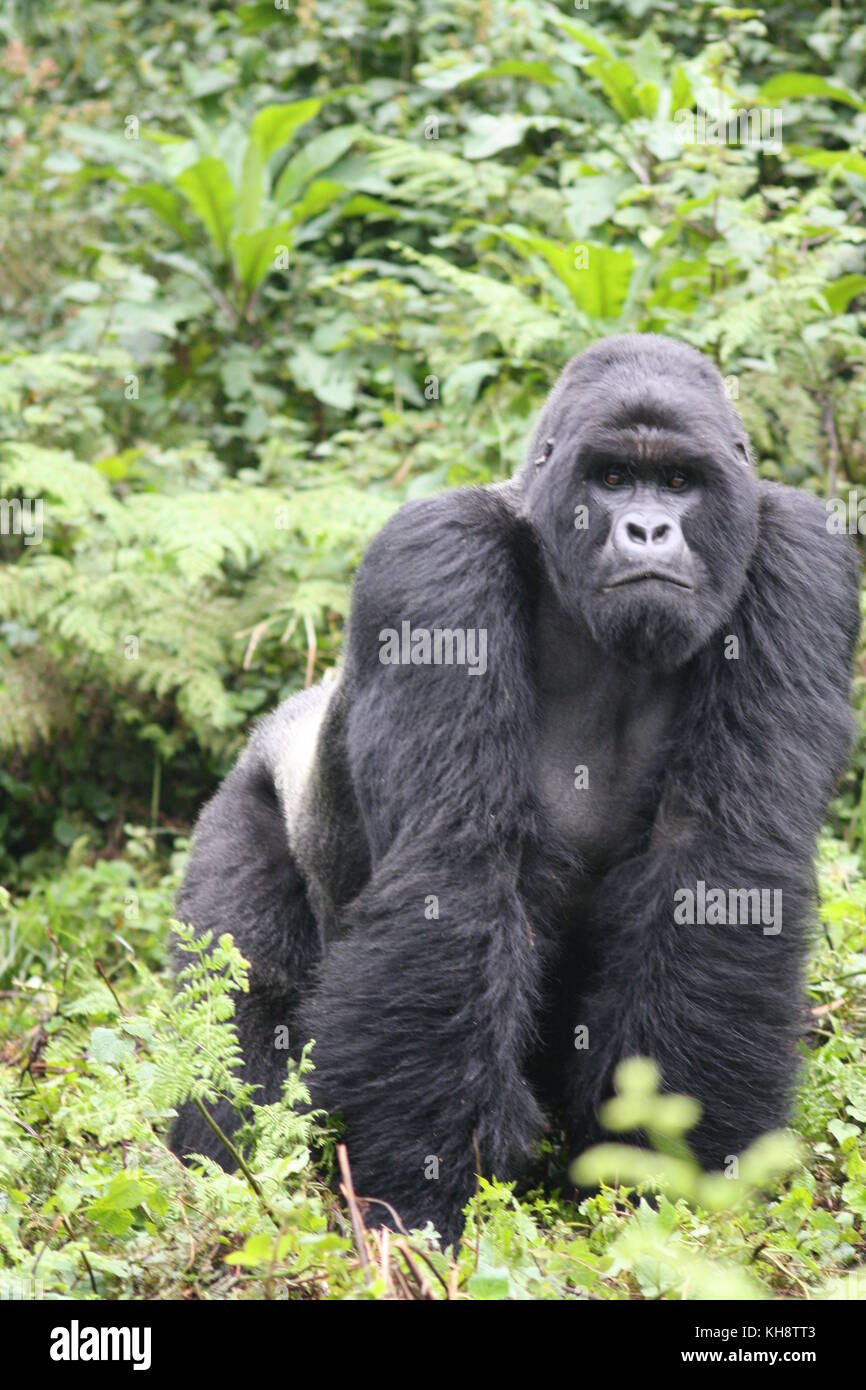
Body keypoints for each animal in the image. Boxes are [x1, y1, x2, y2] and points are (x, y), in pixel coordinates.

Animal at [169, 333, 861, 1239]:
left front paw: (676, 1177)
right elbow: (453, 870)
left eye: (680, 482)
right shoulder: (436, 556)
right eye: (612, 478)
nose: (647, 528)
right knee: (235, 1005)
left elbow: (719, 871)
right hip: (244, 806)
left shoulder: (806, 562)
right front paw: (425, 1199)